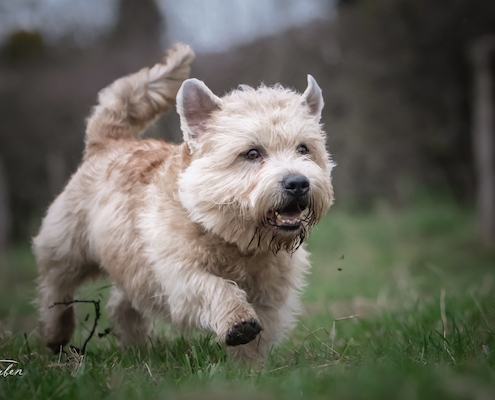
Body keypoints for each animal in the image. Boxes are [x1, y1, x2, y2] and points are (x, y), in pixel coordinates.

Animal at [33, 44, 336, 366]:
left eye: (304, 149)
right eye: (252, 153)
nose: (298, 183)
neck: (236, 241)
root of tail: (107, 143)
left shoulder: (272, 292)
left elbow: (259, 335)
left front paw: (248, 368)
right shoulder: (180, 276)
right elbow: (215, 287)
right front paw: (237, 320)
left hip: (131, 267)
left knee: (123, 304)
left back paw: (137, 347)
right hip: (66, 246)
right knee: (55, 285)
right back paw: (56, 333)